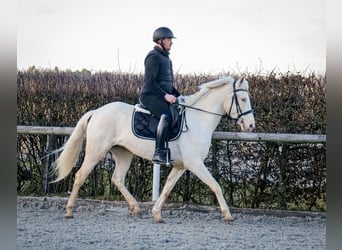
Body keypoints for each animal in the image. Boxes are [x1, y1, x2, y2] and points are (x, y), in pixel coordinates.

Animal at [50, 75, 254, 223]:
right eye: (243, 99)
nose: (251, 125)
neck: (198, 120)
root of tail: (97, 112)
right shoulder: (195, 163)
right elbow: (215, 185)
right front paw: (228, 215)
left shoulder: (181, 165)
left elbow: (167, 188)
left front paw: (157, 214)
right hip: (96, 151)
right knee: (80, 176)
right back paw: (69, 211)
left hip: (123, 153)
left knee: (117, 178)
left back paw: (136, 208)